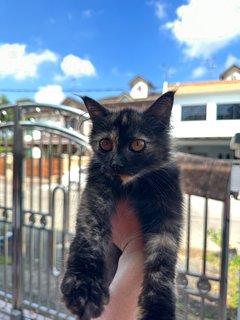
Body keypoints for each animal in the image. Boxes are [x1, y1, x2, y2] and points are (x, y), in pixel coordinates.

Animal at [61, 90, 183, 320]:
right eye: (105, 144)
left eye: (137, 145)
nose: (116, 164)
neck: (131, 186)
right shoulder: (95, 195)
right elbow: (90, 235)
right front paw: (84, 287)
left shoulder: (168, 212)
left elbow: (162, 261)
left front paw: (159, 310)